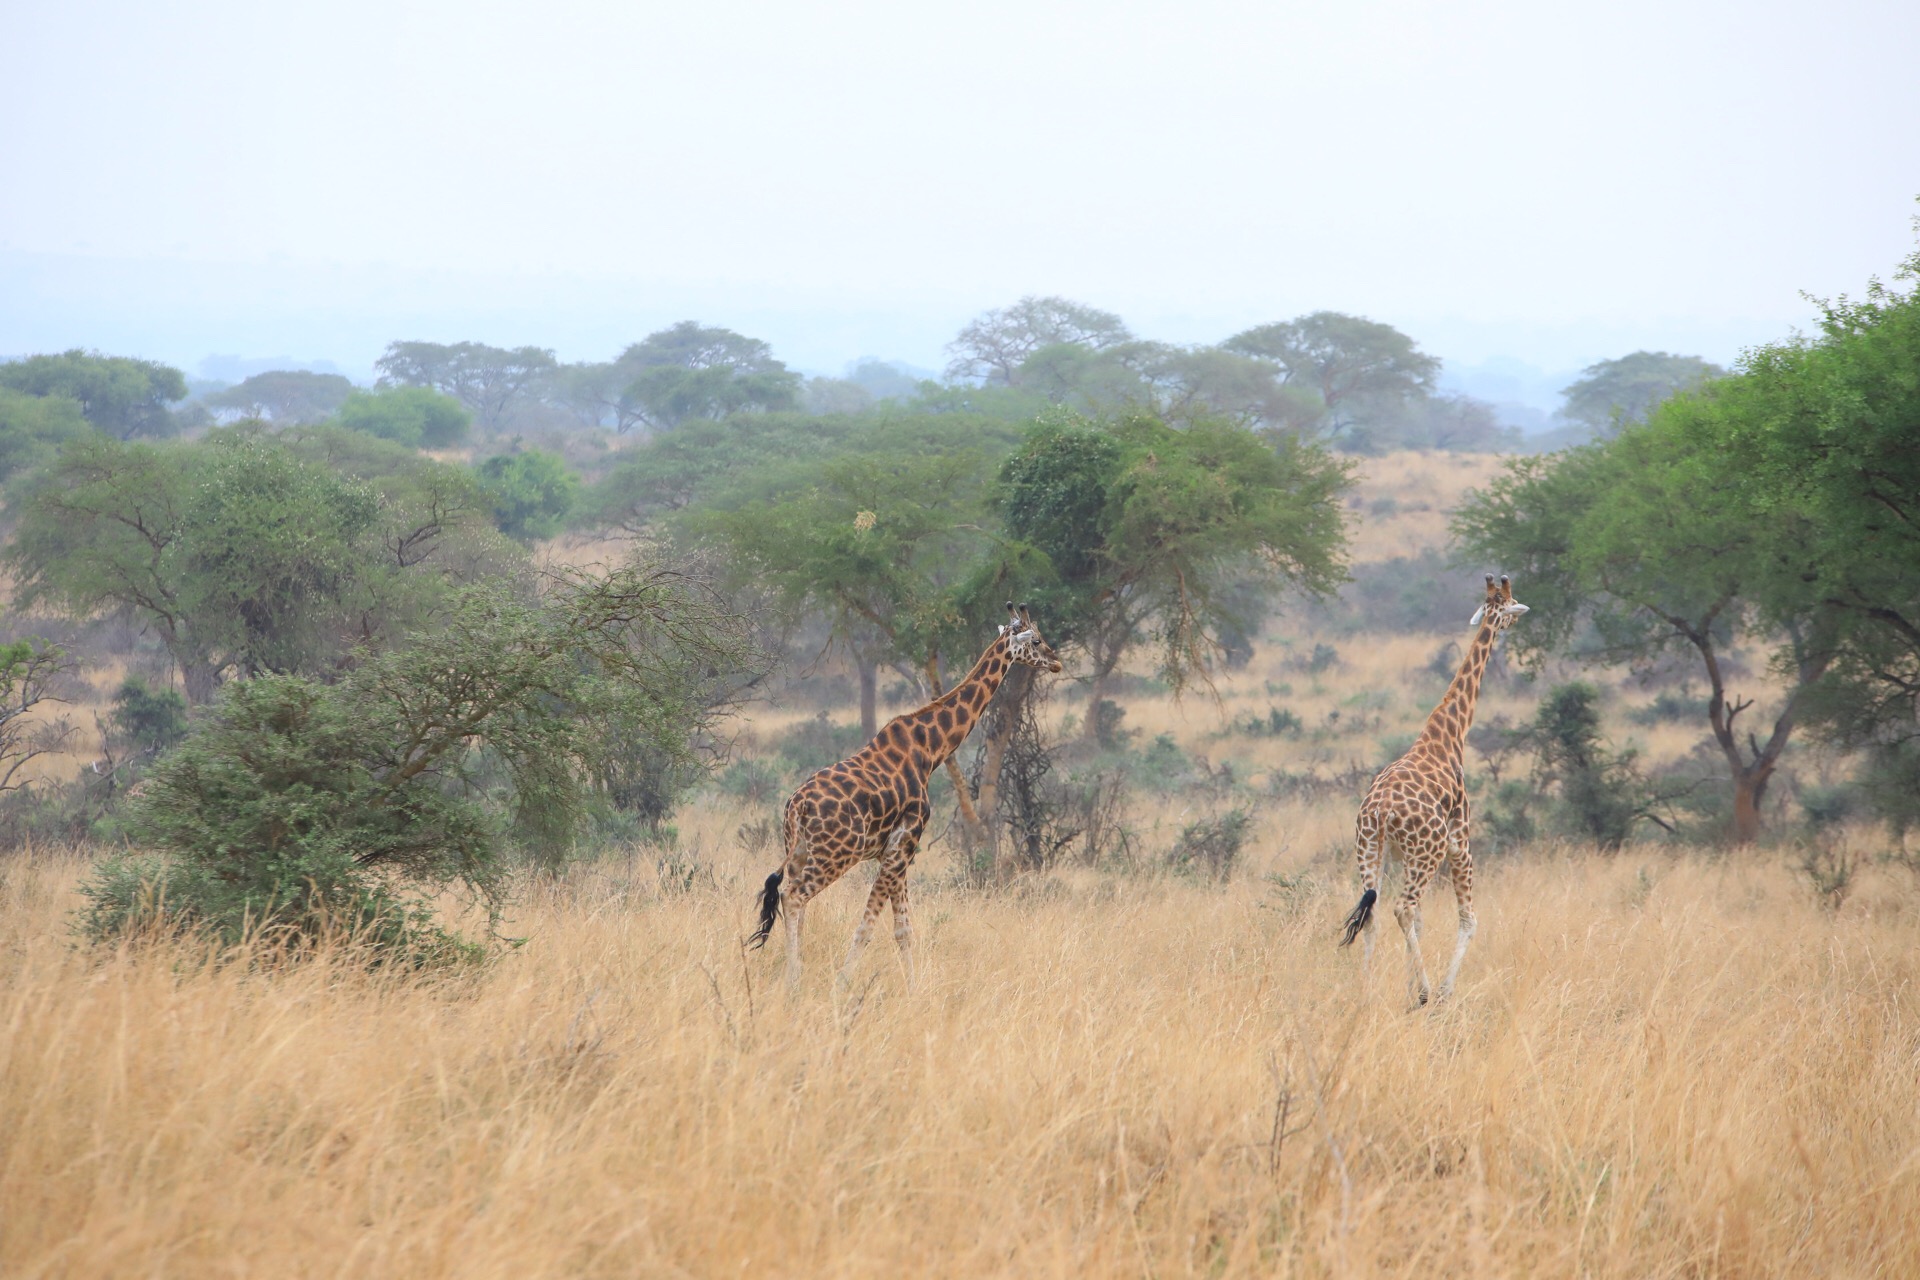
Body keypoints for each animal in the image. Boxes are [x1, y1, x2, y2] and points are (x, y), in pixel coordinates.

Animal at [746, 602, 1062, 987]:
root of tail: (797, 806)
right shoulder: (904, 843)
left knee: (791, 901)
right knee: (792, 898)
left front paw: (913, 987)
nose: (1057, 661)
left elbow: (903, 929)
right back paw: (795, 978)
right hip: (834, 855)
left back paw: (794, 971)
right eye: (1036, 639)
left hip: (800, 851)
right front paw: (843, 984)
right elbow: (868, 926)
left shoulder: (895, 850)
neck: (931, 749)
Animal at [1338, 573, 1530, 1006]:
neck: (1448, 736)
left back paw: (1366, 990)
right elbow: (1469, 919)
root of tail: (1381, 812)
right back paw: (1427, 993)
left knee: (1374, 912)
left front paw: (1408, 988)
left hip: (1370, 849)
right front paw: (1440, 992)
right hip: (1426, 854)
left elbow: (1423, 923)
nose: (1517, 619)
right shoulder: (1461, 843)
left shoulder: (1403, 855)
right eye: (1511, 603)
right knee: (1402, 909)